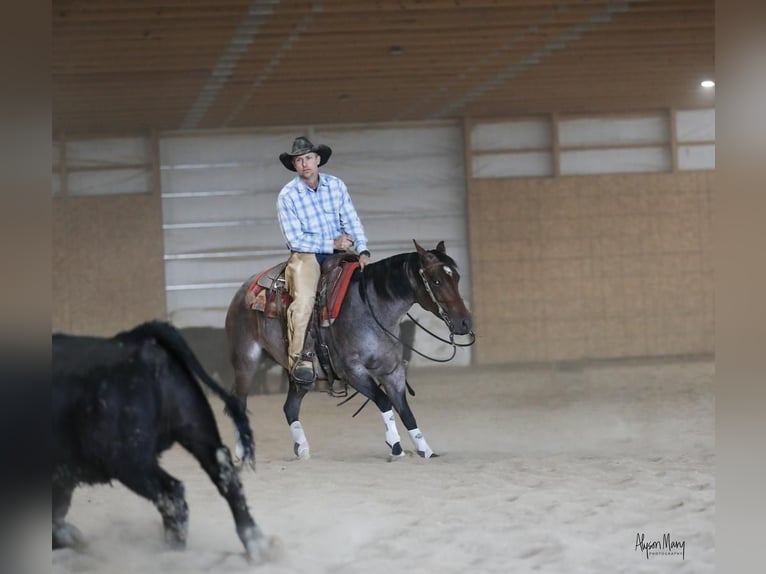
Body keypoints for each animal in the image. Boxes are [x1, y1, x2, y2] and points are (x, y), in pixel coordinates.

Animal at [53, 322, 276, 564]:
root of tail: (136, 342)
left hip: (128, 461)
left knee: (172, 495)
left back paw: (169, 555)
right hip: (197, 431)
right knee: (226, 477)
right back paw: (257, 545)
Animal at [225, 241, 472, 462]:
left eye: (457, 278)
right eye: (436, 280)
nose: (465, 323)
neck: (371, 308)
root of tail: (243, 290)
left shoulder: (392, 372)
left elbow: (405, 410)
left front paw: (425, 449)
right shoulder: (353, 372)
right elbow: (384, 401)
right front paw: (395, 446)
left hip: (302, 375)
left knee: (290, 408)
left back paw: (303, 449)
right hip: (246, 359)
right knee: (240, 402)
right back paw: (242, 452)